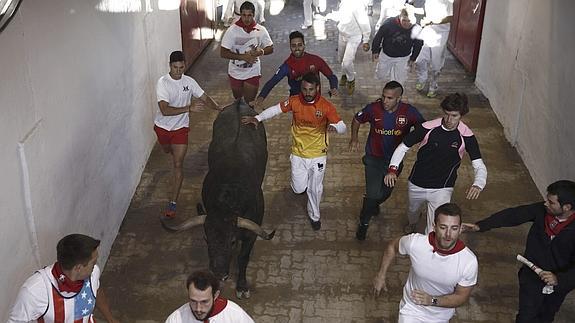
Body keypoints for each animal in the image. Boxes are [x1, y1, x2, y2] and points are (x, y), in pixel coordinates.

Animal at [161, 100, 276, 300]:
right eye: (206, 239)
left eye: (232, 241)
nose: (219, 273)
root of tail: (239, 103)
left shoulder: (251, 234)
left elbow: (243, 258)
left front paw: (242, 286)